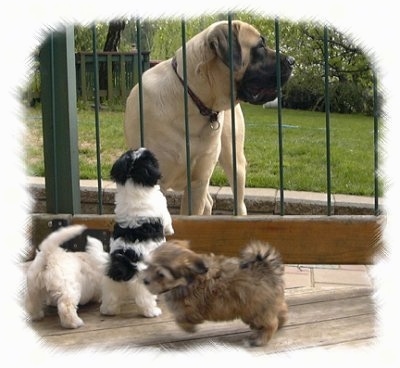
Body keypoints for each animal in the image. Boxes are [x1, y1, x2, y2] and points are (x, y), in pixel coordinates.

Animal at [100, 148, 173, 318]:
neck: (132, 184)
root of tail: (124, 261)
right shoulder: (163, 208)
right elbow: (168, 221)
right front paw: (170, 230)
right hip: (142, 282)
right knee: (144, 300)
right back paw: (152, 311)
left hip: (111, 281)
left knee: (111, 297)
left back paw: (108, 311)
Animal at [142, 240, 286, 346]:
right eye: (148, 265)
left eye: (161, 275)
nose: (144, 280)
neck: (188, 280)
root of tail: (265, 269)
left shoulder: (190, 309)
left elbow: (181, 319)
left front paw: (189, 328)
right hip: (267, 304)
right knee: (280, 311)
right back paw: (280, 322)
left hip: (255, 309)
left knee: (270, 323)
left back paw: (260, 339)